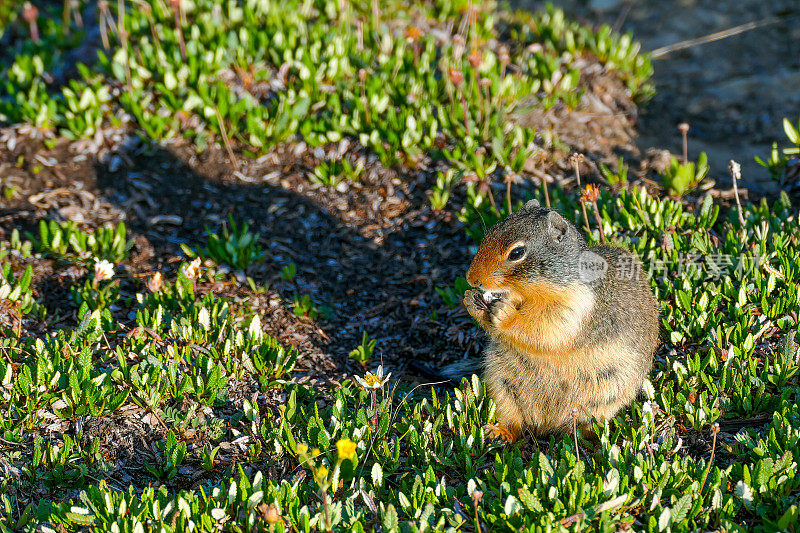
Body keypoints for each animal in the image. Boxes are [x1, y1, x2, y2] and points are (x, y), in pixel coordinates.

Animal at [460, 200, 660, 440]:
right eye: (489, 233)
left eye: (517, 252)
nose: (471, 279)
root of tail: (546, 423)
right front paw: (471, 301)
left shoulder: (574, 307)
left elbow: (544, 330)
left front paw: (503, 314)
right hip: (502, 383)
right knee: (514, 421)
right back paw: (499, 433)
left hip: (604, 397)